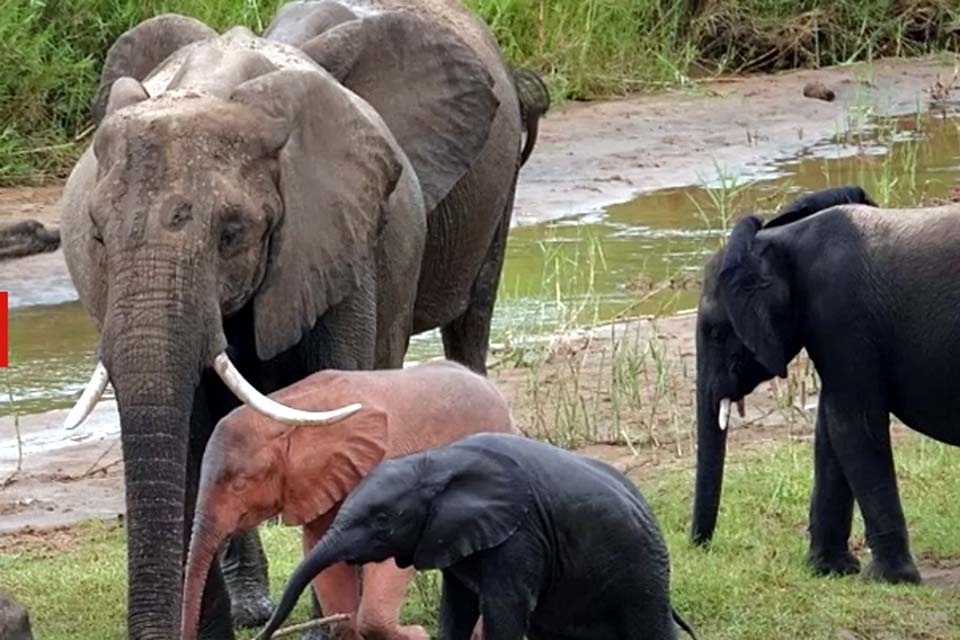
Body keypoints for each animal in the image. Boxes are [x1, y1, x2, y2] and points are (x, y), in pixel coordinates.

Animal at [255, 432, 692, 640]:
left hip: (641, 575)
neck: (437, 461)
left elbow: (502, 611)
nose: (261, 634)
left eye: (382, 519)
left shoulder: (520, 536)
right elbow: (457, 609)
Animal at [688, 186, 960, 584]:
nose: (700, 547)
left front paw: (888, 579)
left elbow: (853, 427)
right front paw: (829, 570)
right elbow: (830, 431)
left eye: (717, 332)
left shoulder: (842, 315)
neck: (783, 241)